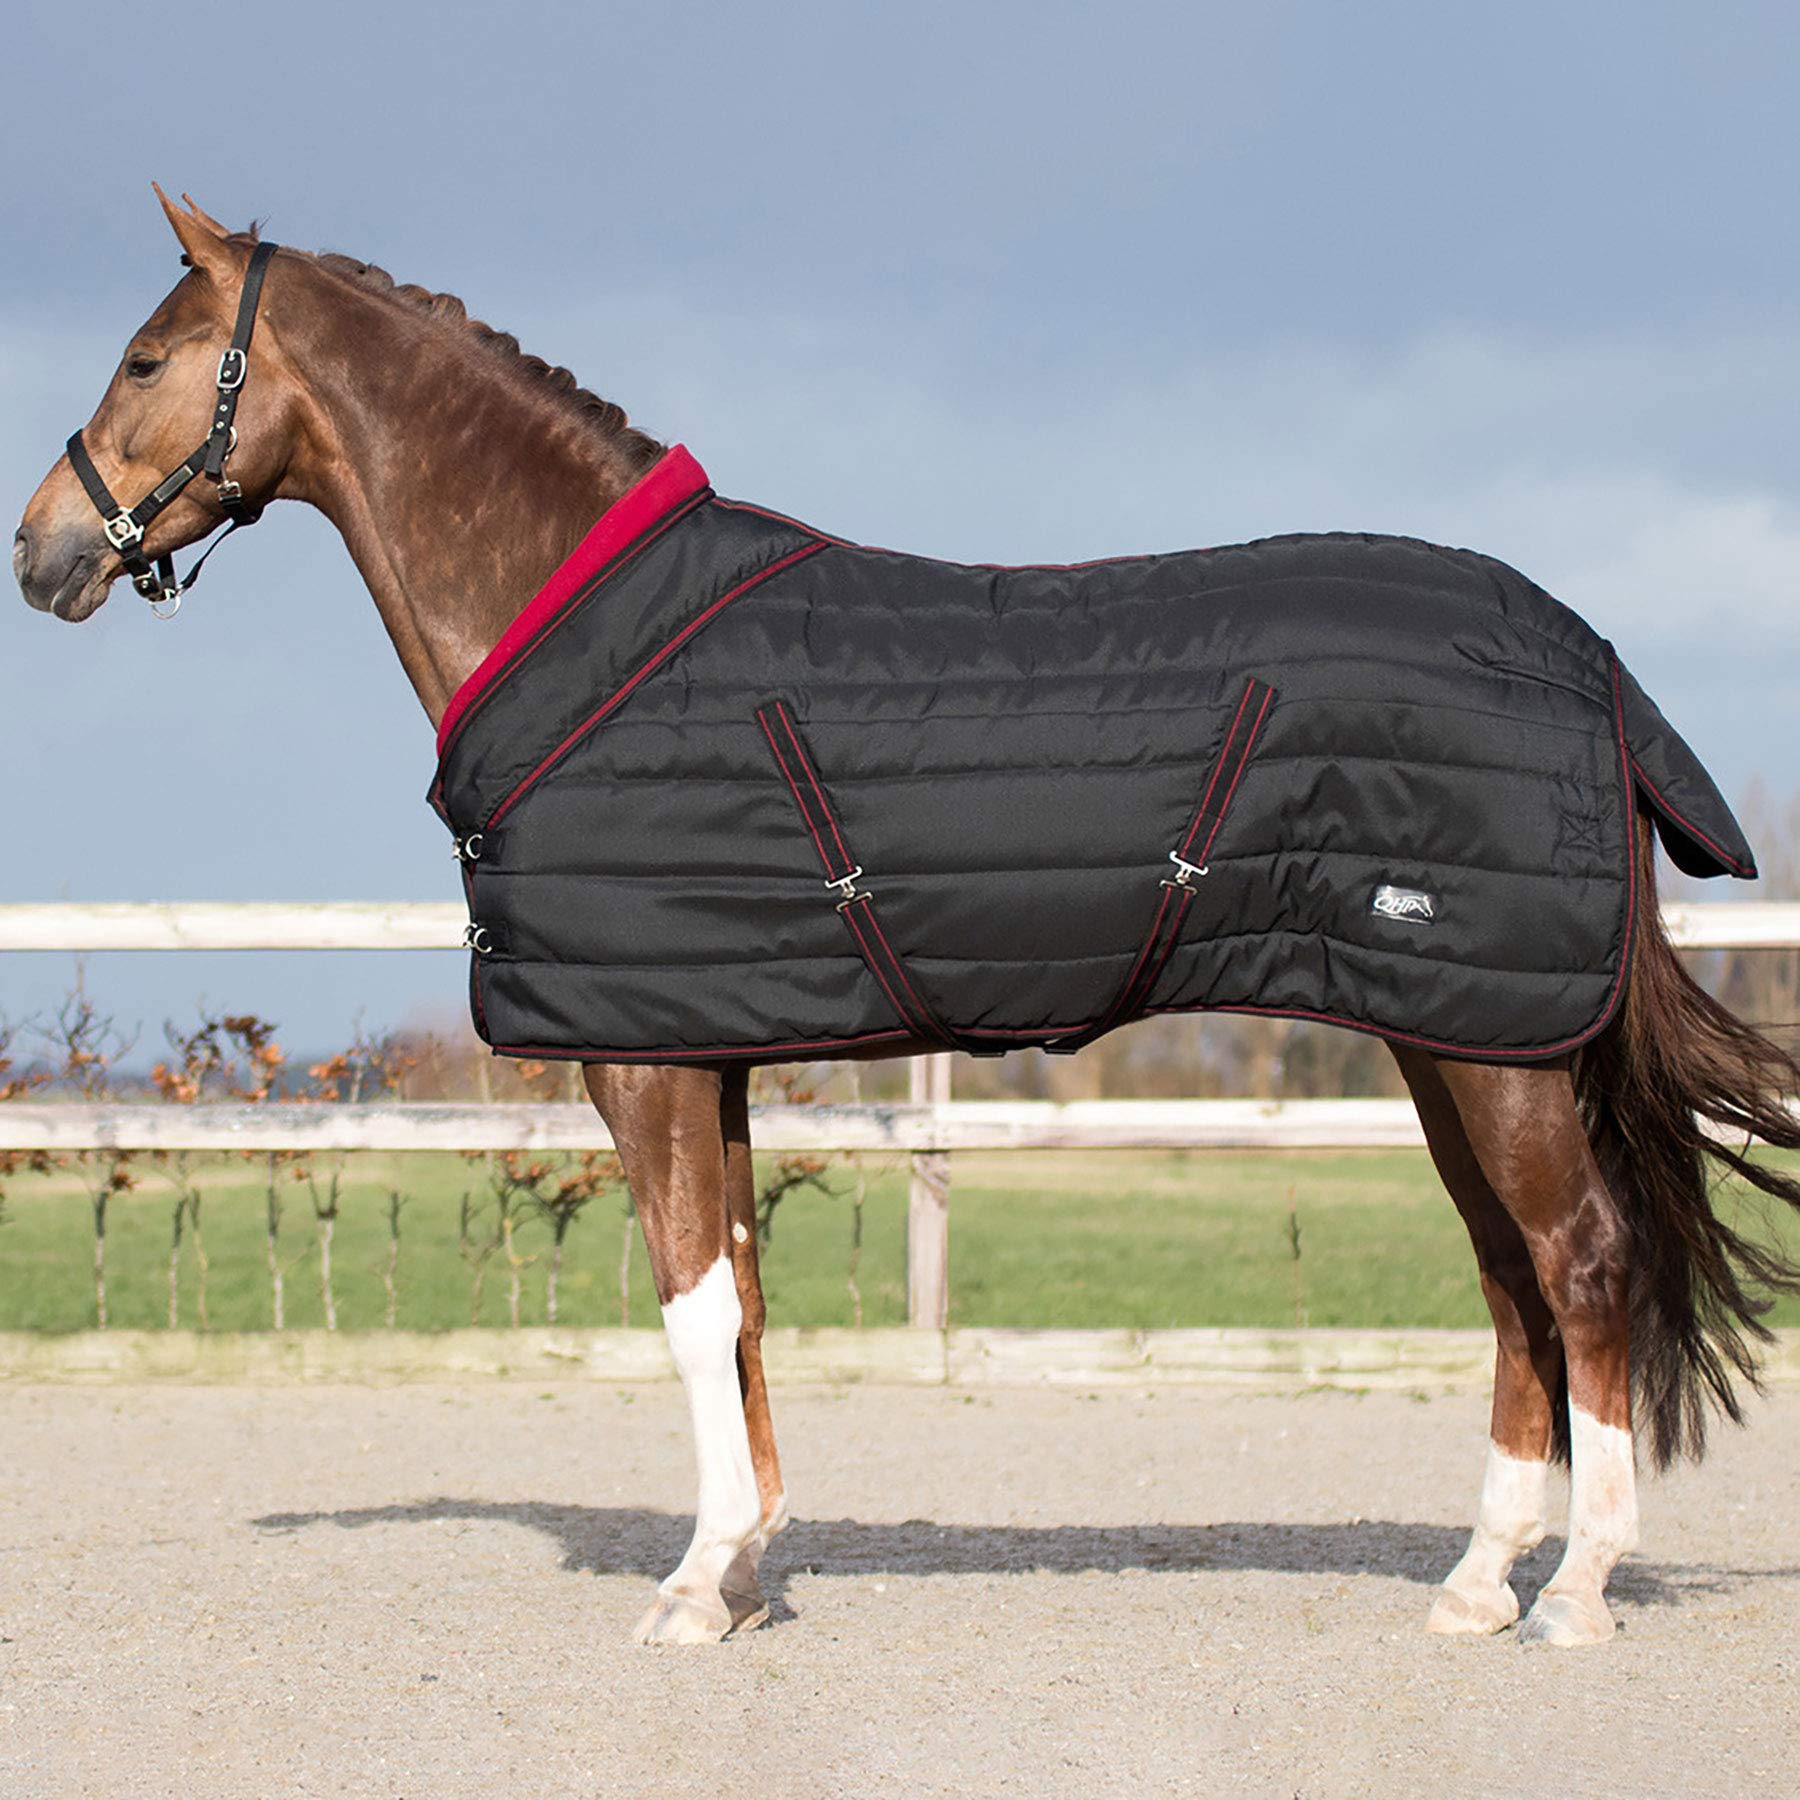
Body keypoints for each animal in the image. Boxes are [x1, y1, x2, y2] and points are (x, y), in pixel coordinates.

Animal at [15, 190, 1800, 1650]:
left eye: (146, 355)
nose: (40, 550)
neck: (593, 635)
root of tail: (1584, 655)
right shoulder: (707, 1049)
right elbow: (739, 1295)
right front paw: (746, 1566)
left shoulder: (640, 1060)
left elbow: (691, 1305)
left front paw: (694, 1586)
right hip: (1453, 1038)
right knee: (1511, 1279)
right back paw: (1477, 1582)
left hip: (1494, 1045)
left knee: (1579, 1264)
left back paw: (1573, 1591)